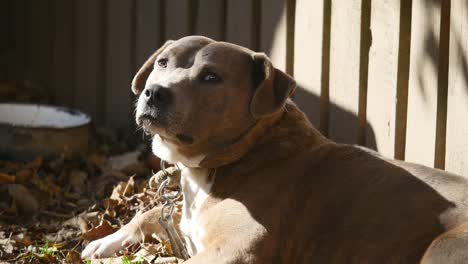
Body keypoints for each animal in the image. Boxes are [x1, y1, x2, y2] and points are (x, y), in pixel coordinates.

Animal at [85, 35, 468, 264]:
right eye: (162, 63)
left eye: (211, 77)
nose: (154, 92)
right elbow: (150, 212)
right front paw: (107, 240)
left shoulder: (235, 249)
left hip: (444, 247)